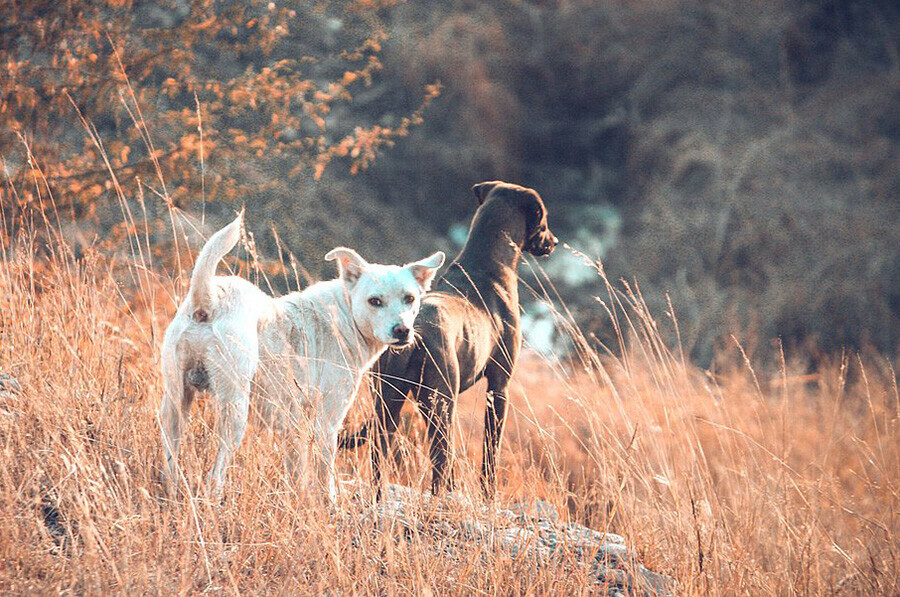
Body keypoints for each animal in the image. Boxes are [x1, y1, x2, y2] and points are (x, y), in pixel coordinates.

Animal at [161, 212, 446, 500]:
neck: (343, 315)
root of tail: (208, 301)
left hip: (175, 404)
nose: (402, 331)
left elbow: (297, 472)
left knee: (170, 458)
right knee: (216, 473)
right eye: (375, 301)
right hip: (234, 410)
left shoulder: (293, 428)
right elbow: (324, 473)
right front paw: (329, 502)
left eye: (409, 298)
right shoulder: (327, 422)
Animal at [342, 182, 560, 498]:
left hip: (390, 402)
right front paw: (488, 495)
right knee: (440, 463)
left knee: (381, 455)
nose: (554, 241)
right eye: (543, 217)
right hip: (440, 404)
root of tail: (411, 334)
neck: (489, 266)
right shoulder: (499, 387)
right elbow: (490, 451)